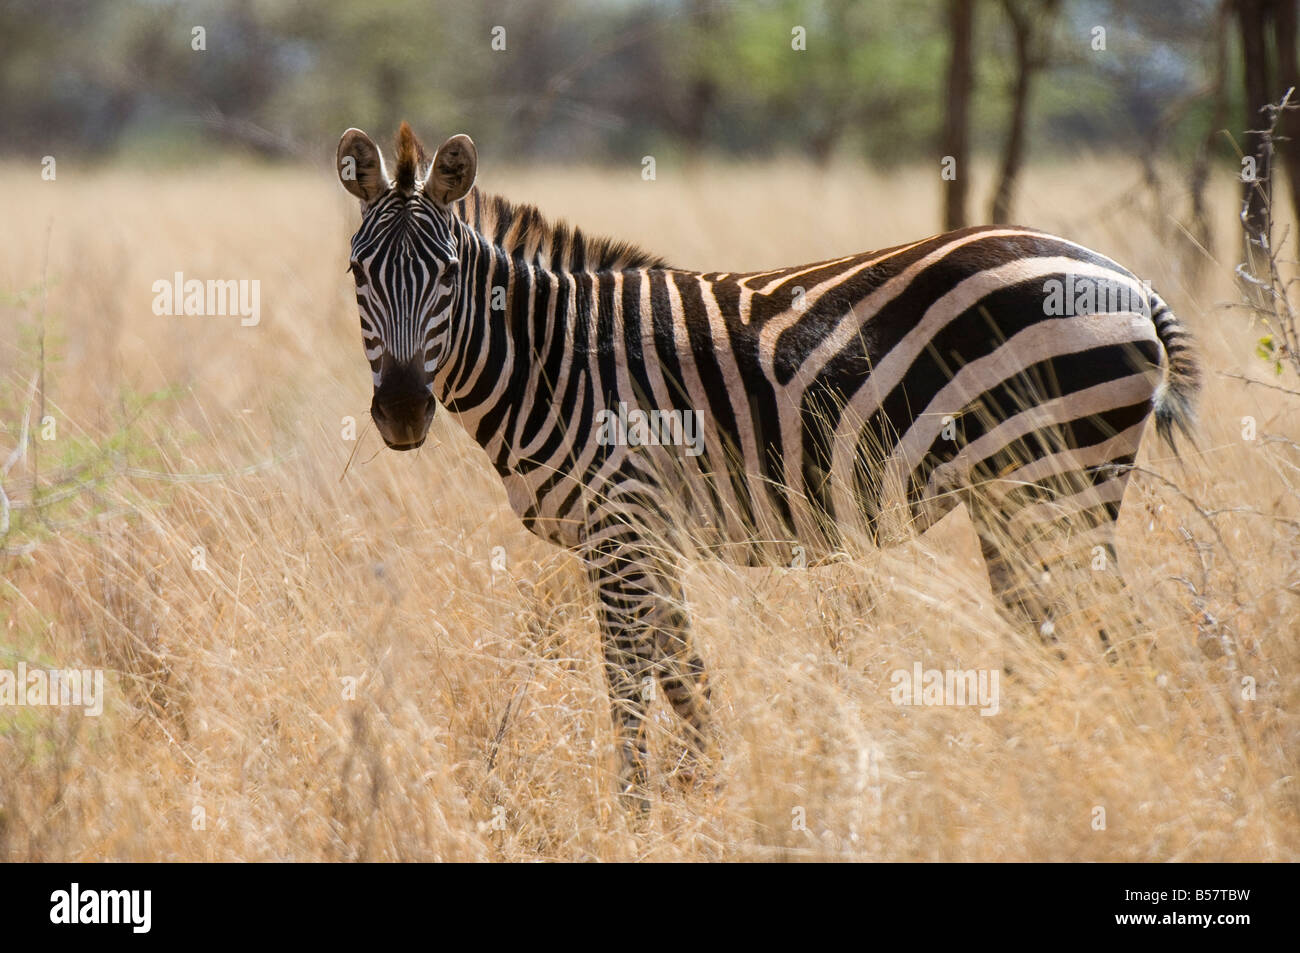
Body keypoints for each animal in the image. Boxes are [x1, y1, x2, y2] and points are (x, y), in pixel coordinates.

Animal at [332, 120, 1196, 800]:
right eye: (356, 272)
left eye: (448, 275)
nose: (402, 411)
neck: (551, 356)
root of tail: (1129, 281)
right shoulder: (646, 532)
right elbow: (685, 672)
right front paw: (712, 789)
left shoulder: (619, 519)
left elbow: (628, 678)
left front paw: (637, 810)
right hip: (1020, 494)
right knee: (1048, 632)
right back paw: (1026, 764)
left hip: (1056, 482)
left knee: (1115, 635)